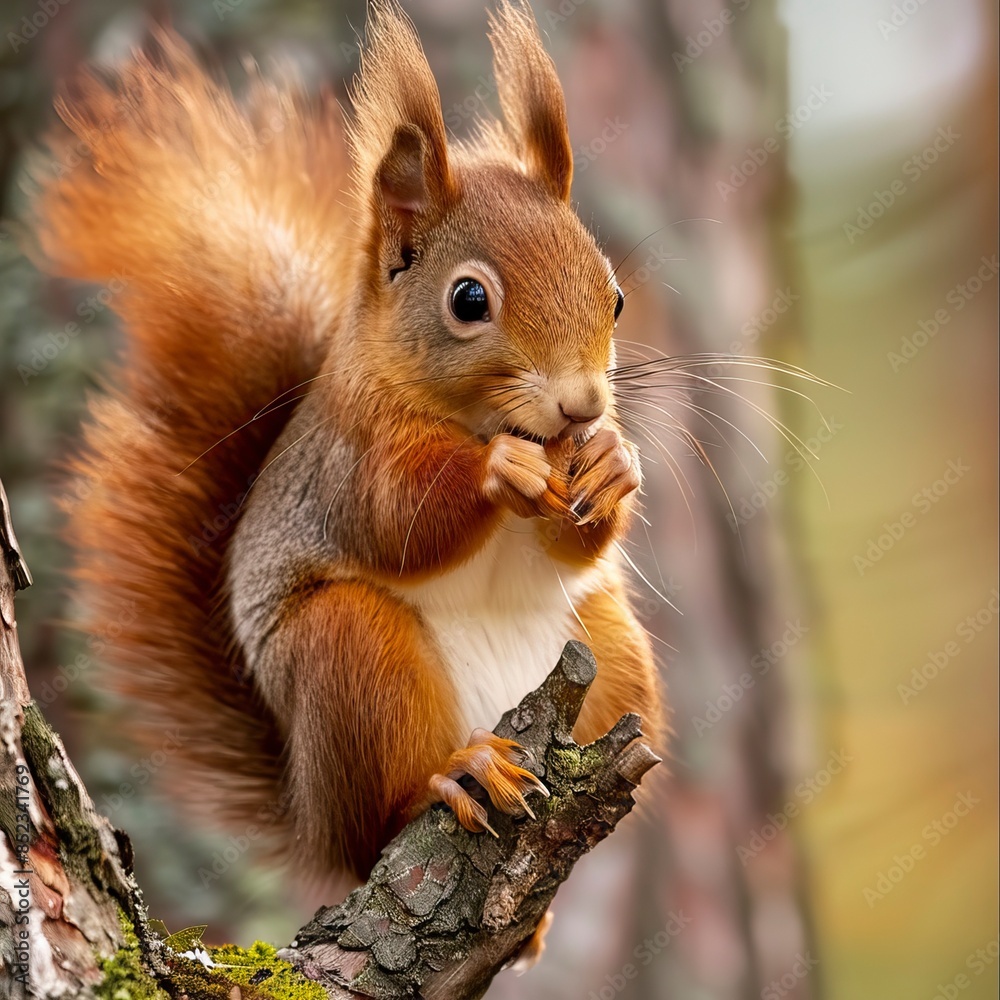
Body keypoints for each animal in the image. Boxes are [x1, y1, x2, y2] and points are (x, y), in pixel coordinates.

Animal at [28, 0, 662, 883]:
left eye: (616, 296)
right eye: (469, 300)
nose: (583, 406)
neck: (480, 420)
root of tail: (315, 818)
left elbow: (574, 542)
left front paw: (611, 462)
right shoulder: (348, 458)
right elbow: (394, 518)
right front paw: (497, 469)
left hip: (611, 647)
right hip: (350, 656)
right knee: (385, 813)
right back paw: (457, 774)